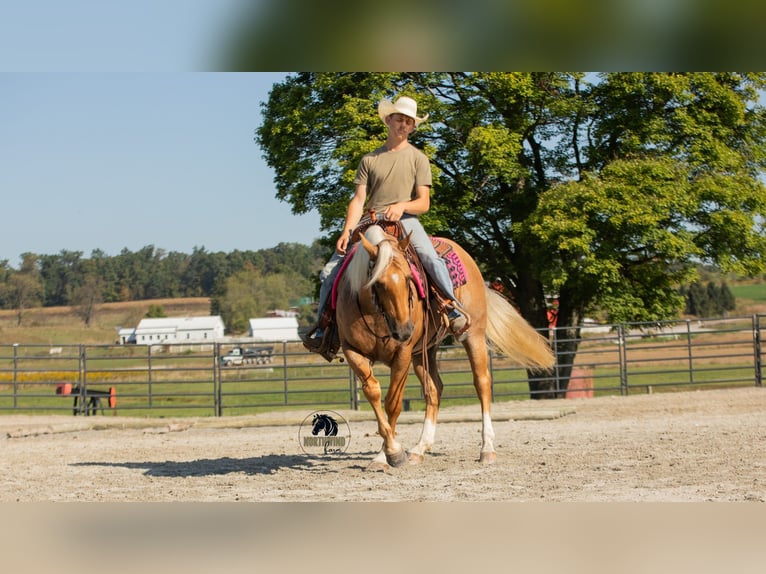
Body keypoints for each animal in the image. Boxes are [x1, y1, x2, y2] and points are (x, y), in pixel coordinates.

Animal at [335, 224, 555, 471]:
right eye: (378, 284)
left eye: (409, 278)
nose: (404, 331)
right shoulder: (353, 351)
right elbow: (373, 392)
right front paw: (387, 453)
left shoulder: (402, 354)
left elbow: (393, 403)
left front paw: (390, 454)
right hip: (424, 351)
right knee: (434, 389)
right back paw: (419, 448)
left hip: (473, 335)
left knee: (482, 383)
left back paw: (487, 448)